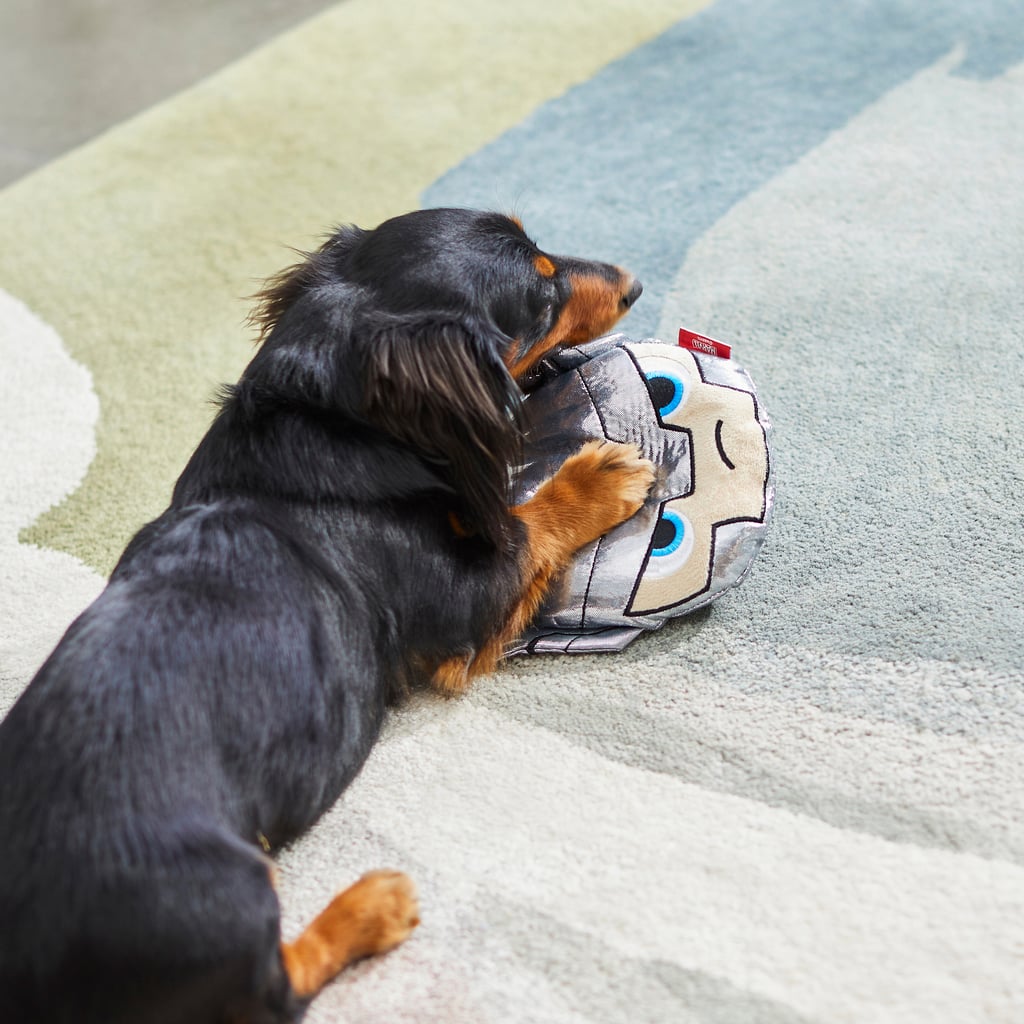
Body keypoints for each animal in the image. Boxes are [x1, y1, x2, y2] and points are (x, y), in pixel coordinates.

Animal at [0, 207, 651, 1024]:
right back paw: (374, 905)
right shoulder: (469, 597)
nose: (634, 283)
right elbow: (533, 522)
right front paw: (601, 473)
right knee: (276, 990)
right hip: (225, 894)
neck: (330, 424)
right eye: (540, 293)